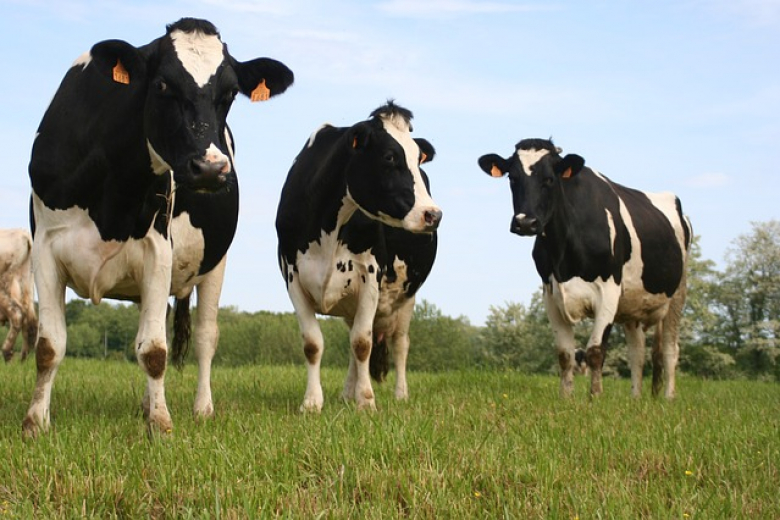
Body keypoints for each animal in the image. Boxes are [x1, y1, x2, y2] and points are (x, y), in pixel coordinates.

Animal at [0, 229, 37, 362]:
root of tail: (22, 233)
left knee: (16, 313)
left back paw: (7, 352)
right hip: (27, 279)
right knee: (30, 319)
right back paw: (23, 359)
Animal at [24, 18, 293, 436]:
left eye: (231, 92)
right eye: (163, 84)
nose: (211, 168)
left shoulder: (157, 249)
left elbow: (153, 350)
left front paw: (161, 424)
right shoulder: (45, 249)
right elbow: (49, 346)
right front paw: (36, 422)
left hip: (216, 263)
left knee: (205, 337)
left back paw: (201, 408)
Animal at [276, 101, 442, 412]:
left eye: (418, 158)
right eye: (389, 156)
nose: (433, 215)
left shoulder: (370, 277)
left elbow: (363, 343)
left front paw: (366, 402)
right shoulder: (293, 276)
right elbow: (313, 344)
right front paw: (312, 402)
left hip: (407, 297)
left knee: (400, 344)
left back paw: (399, 394)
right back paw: (346, 393)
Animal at [478, 138, 691, 399]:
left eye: (550, 179)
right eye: (512, 178)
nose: (525, 223)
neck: (564, 255)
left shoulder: (608, 291)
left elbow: (595, 351)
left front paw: (595, 398)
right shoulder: (550, 294)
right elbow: (564, 354)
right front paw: (566, 398)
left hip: (678, 294)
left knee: (670, 349)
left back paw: (669, 398)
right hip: (633, 305)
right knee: (638, 352)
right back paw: (635, 399)